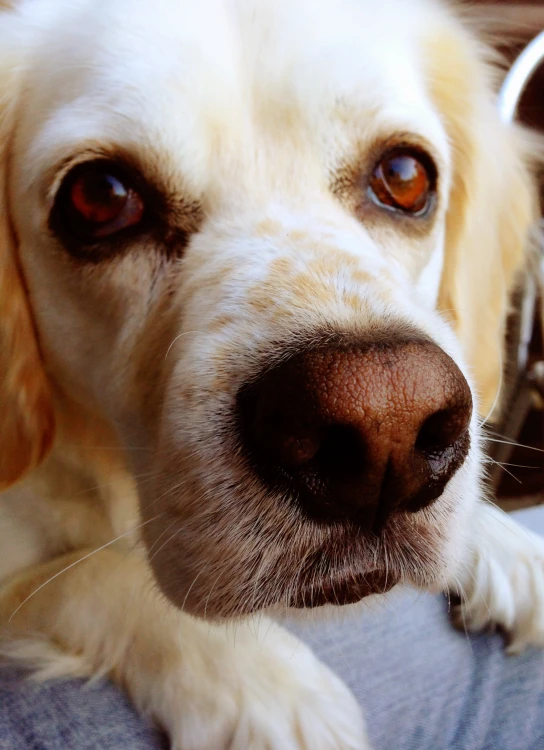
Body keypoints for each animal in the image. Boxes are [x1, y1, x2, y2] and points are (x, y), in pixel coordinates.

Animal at [1, 0, 544, 748]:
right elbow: (78, 578)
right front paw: (263, 682)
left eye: (405, 176)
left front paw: (499, 541)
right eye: (99, 197)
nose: (384, 436)